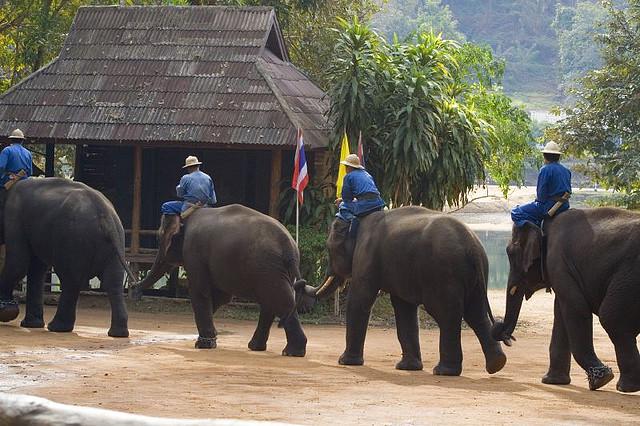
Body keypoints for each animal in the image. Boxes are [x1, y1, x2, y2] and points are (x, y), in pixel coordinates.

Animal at [0, 176, 131, 336]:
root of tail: (105, 216)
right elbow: (36, 268)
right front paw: (31, 324)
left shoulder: (14, 216)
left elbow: (18, 263)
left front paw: (6, 312)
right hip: (116, 241)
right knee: (113, 282)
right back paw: (118, 333)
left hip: (72, 239)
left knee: (70, 279)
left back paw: (57, 327)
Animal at [134, 205, 308, 354]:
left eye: (158, 238)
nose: (133, 289)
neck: (186, 214)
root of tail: (289, 246)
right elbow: (221, 297)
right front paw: (209, 338)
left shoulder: (194, 252)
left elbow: (200, 292)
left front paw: (203, 344)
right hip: (273, 270)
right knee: (272, 302)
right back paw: (258, 347)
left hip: (266, 268)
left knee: (278, 300)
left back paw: (291, 352)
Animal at [302, 206, 508, 376]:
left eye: (329, 248)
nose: (301, 282)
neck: (358, 220)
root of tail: (472, 245)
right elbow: (404, 308)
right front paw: (407, 367)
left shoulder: (367, 256)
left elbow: (360, 299)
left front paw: (345, 362)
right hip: (477, 276)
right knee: (476, 314)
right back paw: (496, 364)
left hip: (443, 275)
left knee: (447, 315)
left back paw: (443, 371)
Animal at [492, 207, 640, 392]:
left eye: (511, 254)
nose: (507, 336)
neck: (545, 222)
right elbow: (561, 314)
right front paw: (553, 381)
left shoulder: (558, 262)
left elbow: (576, 308)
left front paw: (601, 379)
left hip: (630, 274)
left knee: (611, 319)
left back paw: (626, 387)